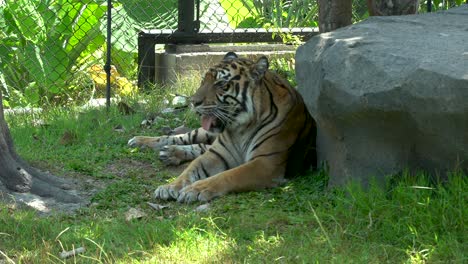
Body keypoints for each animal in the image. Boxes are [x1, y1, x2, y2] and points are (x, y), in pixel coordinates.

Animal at [129, 52, 314, 204]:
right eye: (203, 80)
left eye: (220, 84)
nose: (193, 102)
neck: (241, 127)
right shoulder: (218, 153)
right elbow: (190, 169)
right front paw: (169, 187)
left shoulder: (265, 163)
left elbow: (228, 175)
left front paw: (196, 189)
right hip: (204, 133)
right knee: (185, 138)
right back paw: (142, 142)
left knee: (200, 146)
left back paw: (171, 153)